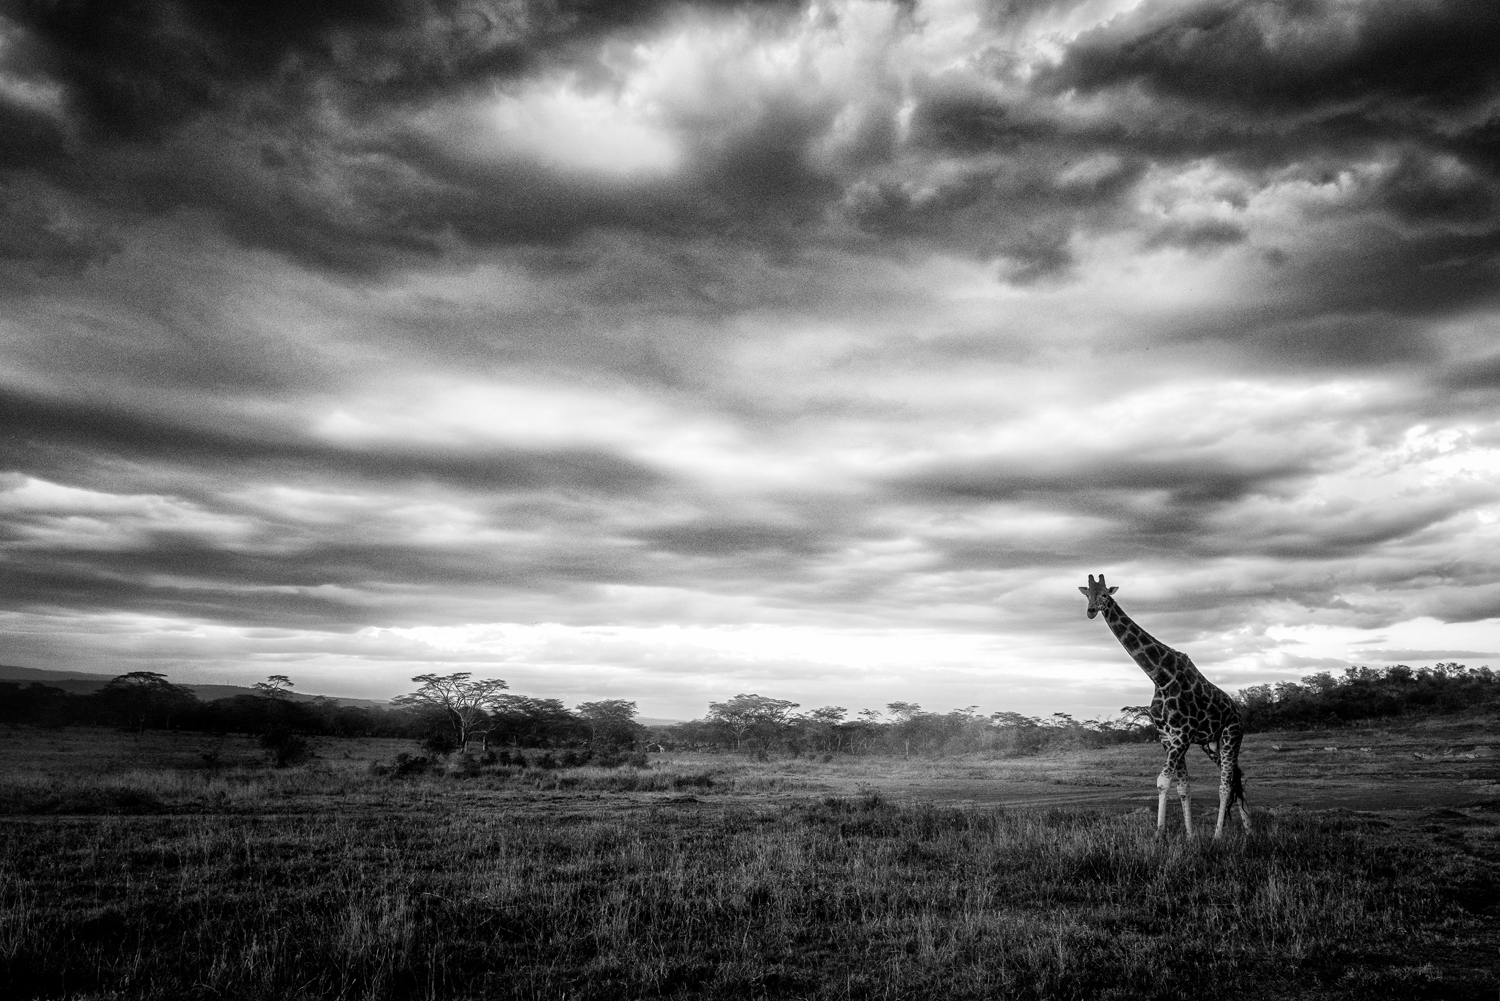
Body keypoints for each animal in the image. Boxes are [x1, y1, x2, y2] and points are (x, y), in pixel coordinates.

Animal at [1079, 574, 1251, 838]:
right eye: (1087, 594)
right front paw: (1189, 836)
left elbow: (1163, 781)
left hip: (1232, 734)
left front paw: (1159, 834)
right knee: (1236, 777)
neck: (1160, 677)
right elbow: (1182, 786)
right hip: (1212, 744)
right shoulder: (1166, 735)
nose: (1090, 611)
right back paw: (1250, 830)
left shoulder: (1183, 733)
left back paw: (1218, 836)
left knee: (1225, 783)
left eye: (1105, 594)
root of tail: (1238, 712)